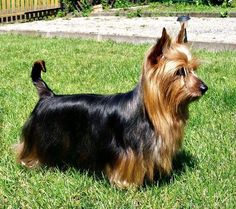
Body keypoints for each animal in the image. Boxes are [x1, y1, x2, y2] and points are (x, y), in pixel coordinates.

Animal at [14, 26, 207, 188]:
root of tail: (47, 95)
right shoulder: (127, 153)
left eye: (193, 69)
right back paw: (30, 162)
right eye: (180, 71)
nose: (204, 87)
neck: (147, 112)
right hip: (40, 135)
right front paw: (126, 185)